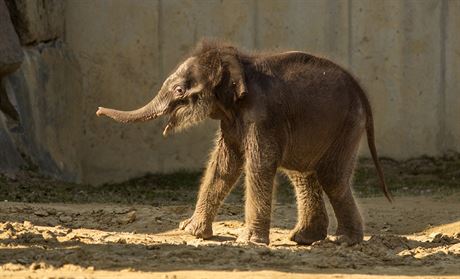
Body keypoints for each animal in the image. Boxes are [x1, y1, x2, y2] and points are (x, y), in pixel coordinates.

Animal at [97, 40, 392, 246]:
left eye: (180, 90)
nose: (98, 111)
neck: (238, 62)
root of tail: (362, 92)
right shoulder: (232, 121)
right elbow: (222, 166)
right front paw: (191, 231)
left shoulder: (261, 116)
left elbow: (259, 164)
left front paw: (248, 242)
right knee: (302, 174)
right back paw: (304, 238)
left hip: (347, 125)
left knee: (331, 176)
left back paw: (343, 241)